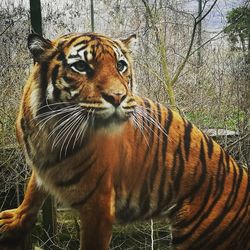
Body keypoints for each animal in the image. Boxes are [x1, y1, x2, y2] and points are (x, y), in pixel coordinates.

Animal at [0, 32, 249, 249]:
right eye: (80, 66)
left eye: (120, 65)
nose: (117, 97)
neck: (50, 131)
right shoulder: (41, 166)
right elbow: (33, 191)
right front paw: (14, 221)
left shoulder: (98, 206)